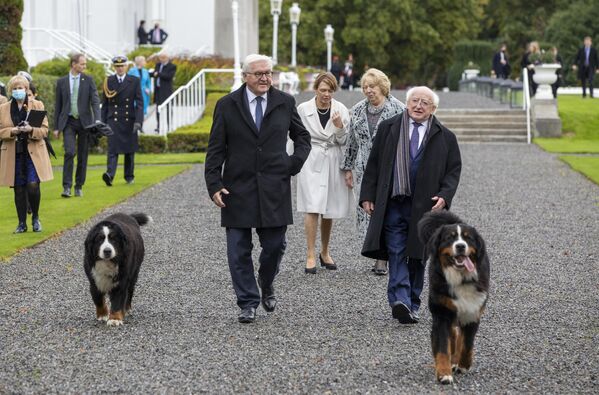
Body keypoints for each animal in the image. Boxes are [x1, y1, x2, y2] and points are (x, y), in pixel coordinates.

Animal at [420, 212, 490, 386]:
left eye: (467, 238)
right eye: (449, 238)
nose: (460, 246)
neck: (461, 279)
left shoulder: (472, 311)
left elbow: (467, 344)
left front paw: (464, 365)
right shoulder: (442, 313)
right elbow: (443, 347)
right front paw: (444, 373)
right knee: (453, 334)